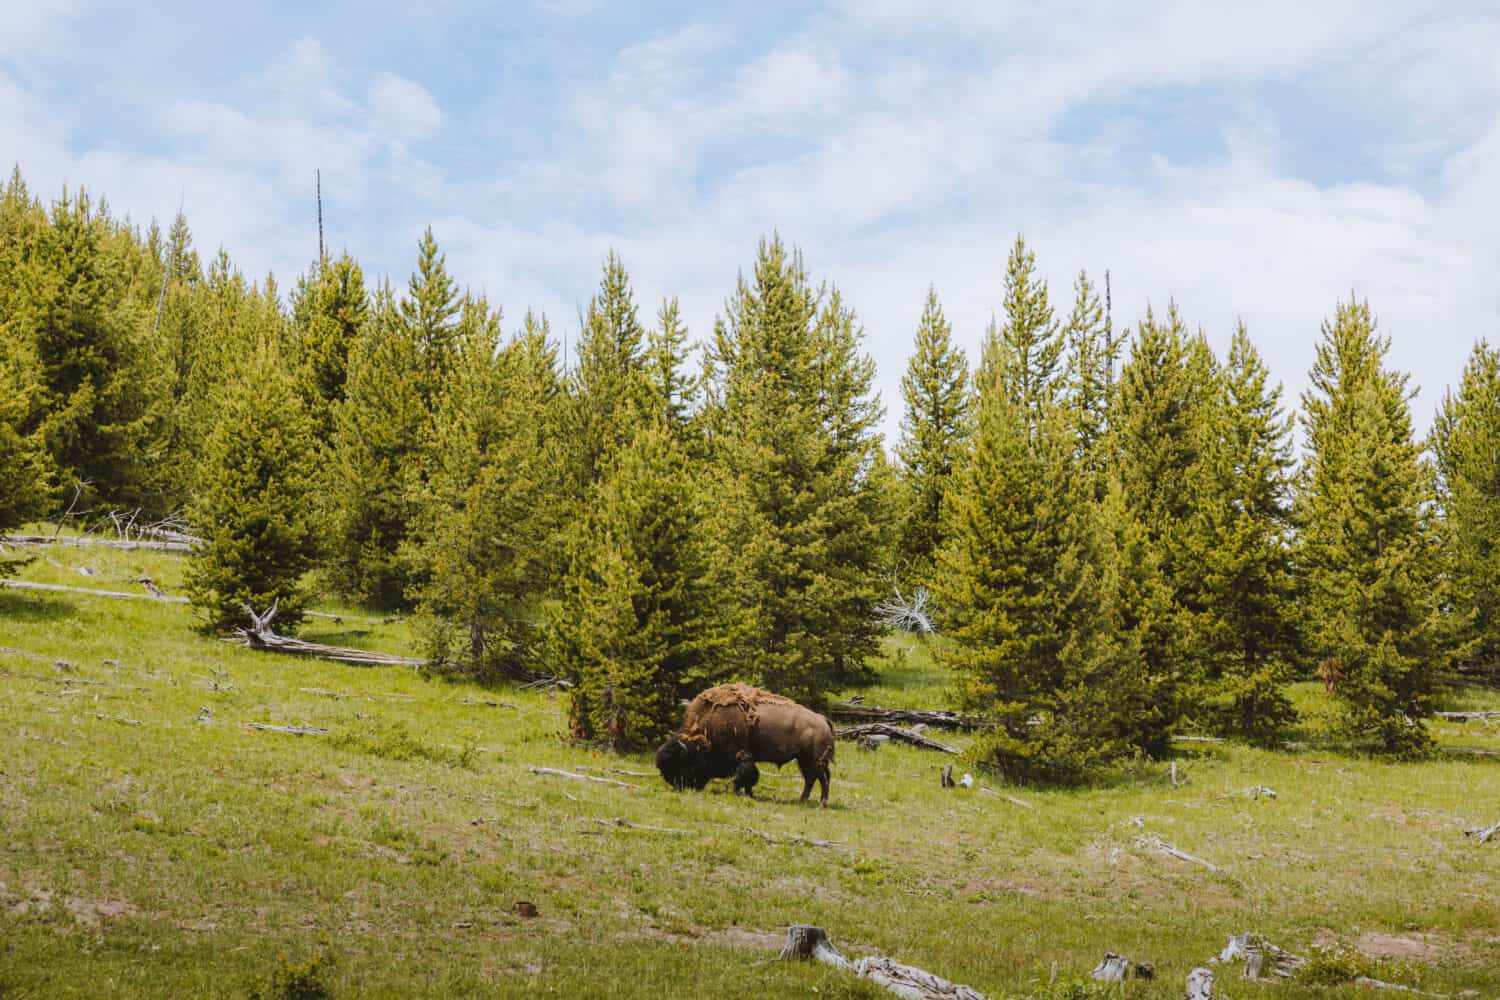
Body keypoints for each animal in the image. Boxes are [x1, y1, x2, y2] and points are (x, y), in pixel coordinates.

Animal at [657, 680, 840, 803]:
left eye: (680, 762)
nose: (677, 786)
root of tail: (823, 719)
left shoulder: (740, 755)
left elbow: (743, 776)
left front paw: (739, 793)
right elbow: (748, 777)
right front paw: (748, 794)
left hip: (815, 760)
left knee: (822, 779)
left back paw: (821, 803)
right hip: (803, 760)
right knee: (811, 779)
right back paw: (802, 800)